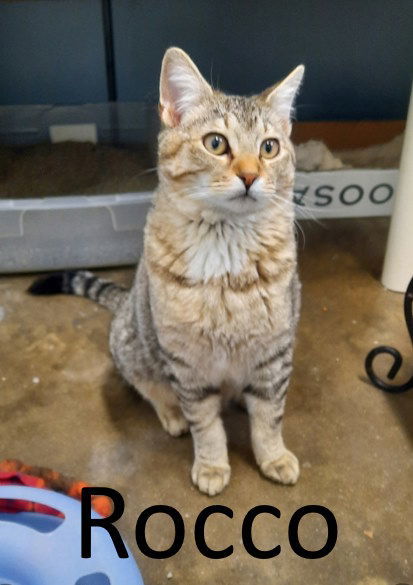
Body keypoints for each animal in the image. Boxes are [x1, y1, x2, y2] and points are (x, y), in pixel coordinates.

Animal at [29, 46, 302, 492]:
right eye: (216, 143)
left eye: (269, 148)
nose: (250, 175)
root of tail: (122, 304)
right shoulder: (187, 364)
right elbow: (206, 425)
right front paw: (211, 464)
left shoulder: (274, 352)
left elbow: (269, 416)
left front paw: (273, 456)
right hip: (133, 346)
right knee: (149, 387)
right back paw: (172, 414)